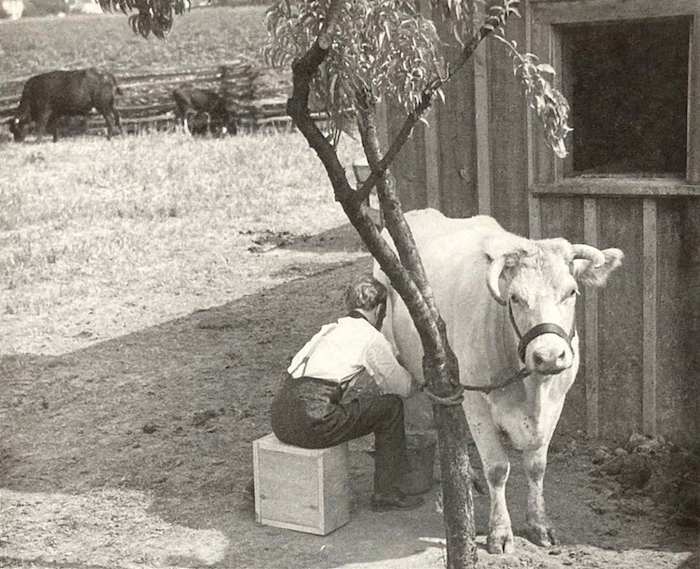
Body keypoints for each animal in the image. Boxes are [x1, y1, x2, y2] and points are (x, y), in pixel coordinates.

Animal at [374, 206, 628, 552]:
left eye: (571, 292)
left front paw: (539, 524)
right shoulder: (476, 402)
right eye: (515, 298)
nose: (549, 356)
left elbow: (536, 466)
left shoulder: (557, 401)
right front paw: (500, 532)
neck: (531, 389)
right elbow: (497, 468)